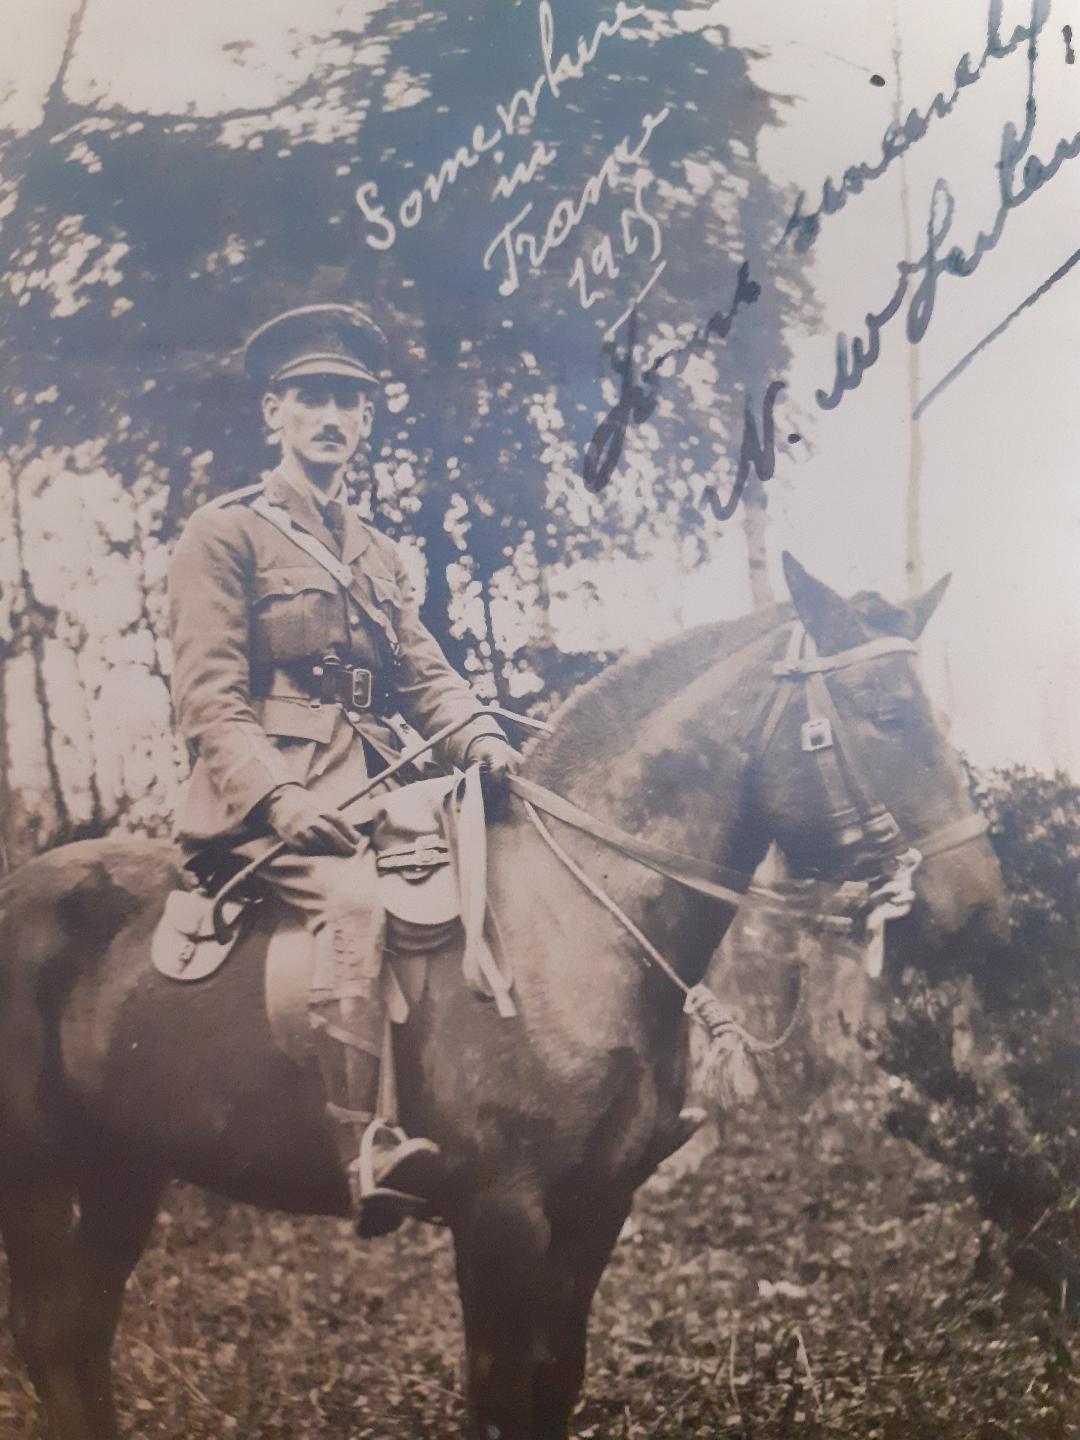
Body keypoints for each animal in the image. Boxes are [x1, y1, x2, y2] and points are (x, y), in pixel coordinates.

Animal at [2, 558, 1013, 1440]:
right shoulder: (500, 1219)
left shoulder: (595, 1209)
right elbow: (499, 1398)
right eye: (886, 713)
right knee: (53, 1337)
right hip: (41, 1176)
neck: (573, 920)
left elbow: (552, 1385)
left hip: (126, 1168)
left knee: (80, 1337)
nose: (978, 910)